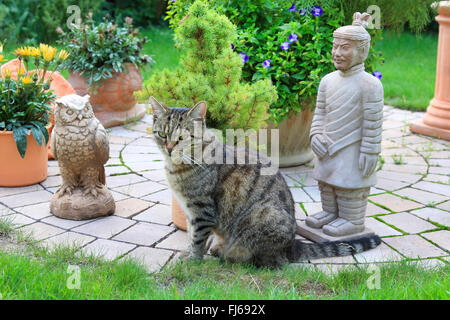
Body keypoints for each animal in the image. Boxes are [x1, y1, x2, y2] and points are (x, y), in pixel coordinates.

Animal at [149, 97, 380, 268]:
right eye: (162, 134)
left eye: (181, 138)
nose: (169, 148)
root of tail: (292, 245)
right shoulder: (190, 211)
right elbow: (191, 235)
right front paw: (188, 252)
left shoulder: (202, 211)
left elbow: (197, 238)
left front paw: (192, 260)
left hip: (261, 218)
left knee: (269, 262)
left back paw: (230, 255)